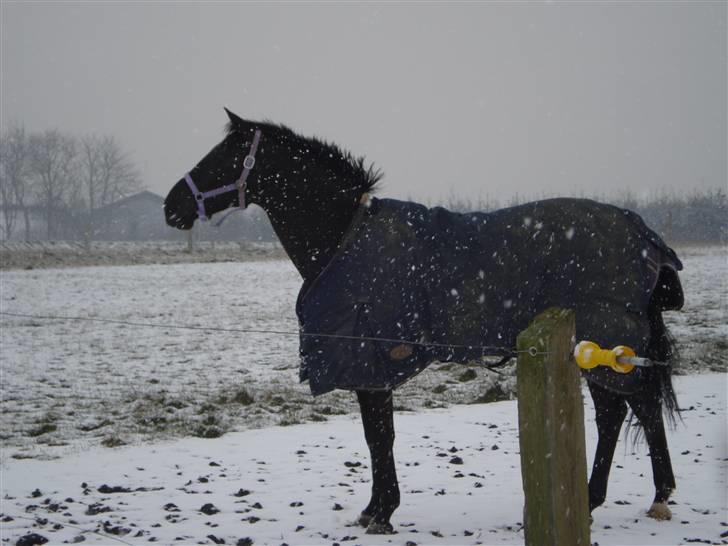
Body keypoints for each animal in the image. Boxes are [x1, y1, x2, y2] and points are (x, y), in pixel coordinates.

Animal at [164, 110, 684, 532]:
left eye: (223, 158)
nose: (172, 206)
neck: (344, 238)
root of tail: (643, 234)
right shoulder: (371, 365)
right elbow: (378, 436)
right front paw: (376, 508)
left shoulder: (369, 364)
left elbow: (379, 437)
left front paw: (380, 512)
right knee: (626, 411)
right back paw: (619, 498)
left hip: (607, 345)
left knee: (628, 410)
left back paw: (631, 498)